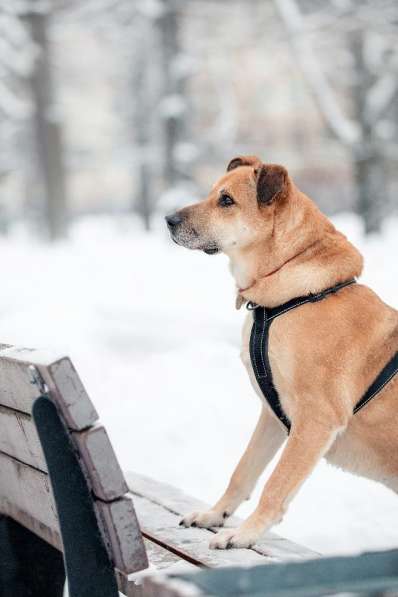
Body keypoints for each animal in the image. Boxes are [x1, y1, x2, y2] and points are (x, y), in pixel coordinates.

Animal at [165, 155, 398, 548]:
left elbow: (277, 483)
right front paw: (215, 514)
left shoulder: (316, 418)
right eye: (212, 193)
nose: (168, 220)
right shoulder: (272, 415)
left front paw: (244, 533)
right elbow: (243, 470)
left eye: (226, 200)